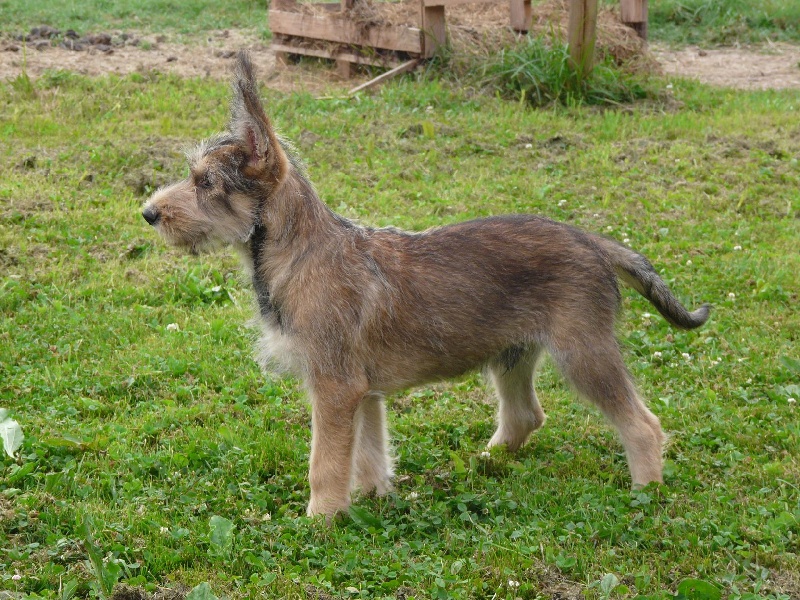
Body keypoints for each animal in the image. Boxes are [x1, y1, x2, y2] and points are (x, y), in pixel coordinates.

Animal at [142, 51, 710, 519]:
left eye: (205, 184)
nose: (148, 213)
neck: (299, 252)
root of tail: (590, 239)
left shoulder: (334, 388)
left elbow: (326, 462)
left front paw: (320, 520)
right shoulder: (362, 393)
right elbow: (368, 454)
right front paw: (369, 500)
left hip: (584, 355)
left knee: (641, 424)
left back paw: (645, 491)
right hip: (512, 354)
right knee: (525, 415)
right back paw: (485, 462)